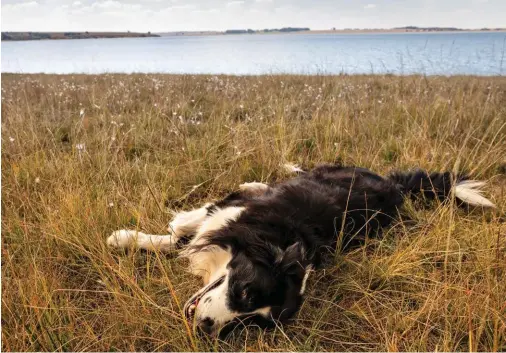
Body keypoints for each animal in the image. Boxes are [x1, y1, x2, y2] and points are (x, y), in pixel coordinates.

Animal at [106, 162, 494, 336]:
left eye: (250, 322)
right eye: (244, 292)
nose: (204, 327)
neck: (274, 238)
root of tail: (394, 186)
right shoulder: (228, 212)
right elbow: (182, 229)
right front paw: (126, 238)